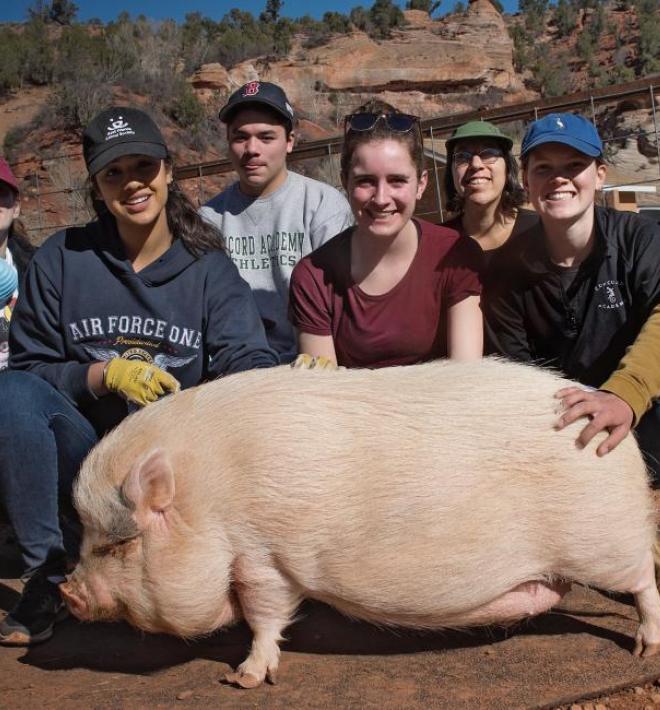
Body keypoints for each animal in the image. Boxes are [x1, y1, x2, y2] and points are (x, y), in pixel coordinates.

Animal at [60, 362, 660, 688]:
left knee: (645, 581)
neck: (207, 504)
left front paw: (241, 679)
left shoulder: (264, 559)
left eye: (118, 543)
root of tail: (624, 442)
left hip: (605, 542)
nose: (67, 592)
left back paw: (644, 650)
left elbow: (263, 617)